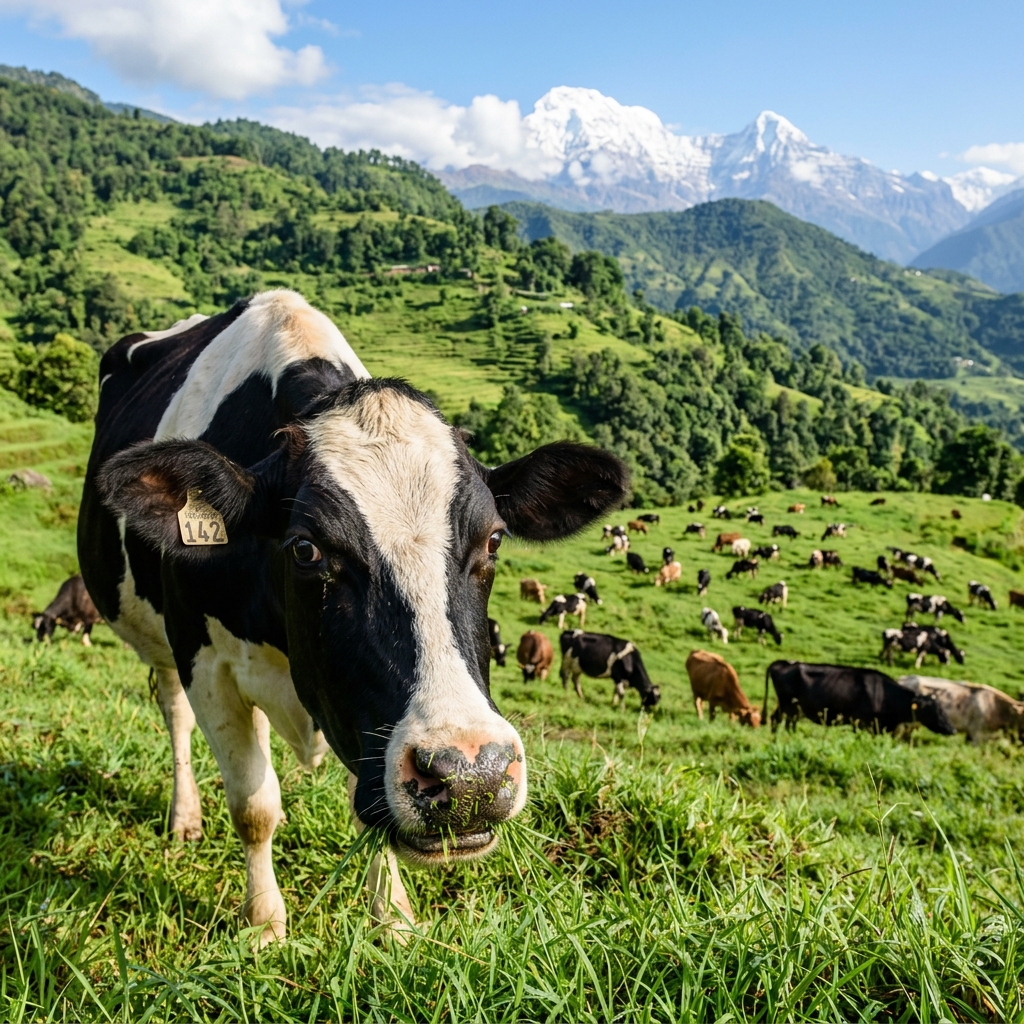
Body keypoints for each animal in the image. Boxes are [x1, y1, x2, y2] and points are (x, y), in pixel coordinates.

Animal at [81, 289, 628, 944]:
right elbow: (254, 805)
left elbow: (370, 818)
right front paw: (264, 924)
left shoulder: (368, 723)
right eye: (306, 549)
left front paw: (392, 919)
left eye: (494, 539)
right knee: (173, 711)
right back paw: (185, 816)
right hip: (161, 640)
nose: (472, 775)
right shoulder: (205, 662)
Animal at [763, 661, 955, 736]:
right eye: (934, 710)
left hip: (788, 706)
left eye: (943, 709)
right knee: (782, 721)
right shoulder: (861, 723)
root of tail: (784, 663)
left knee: (777, 719)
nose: (952, 729)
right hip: (789, 706)